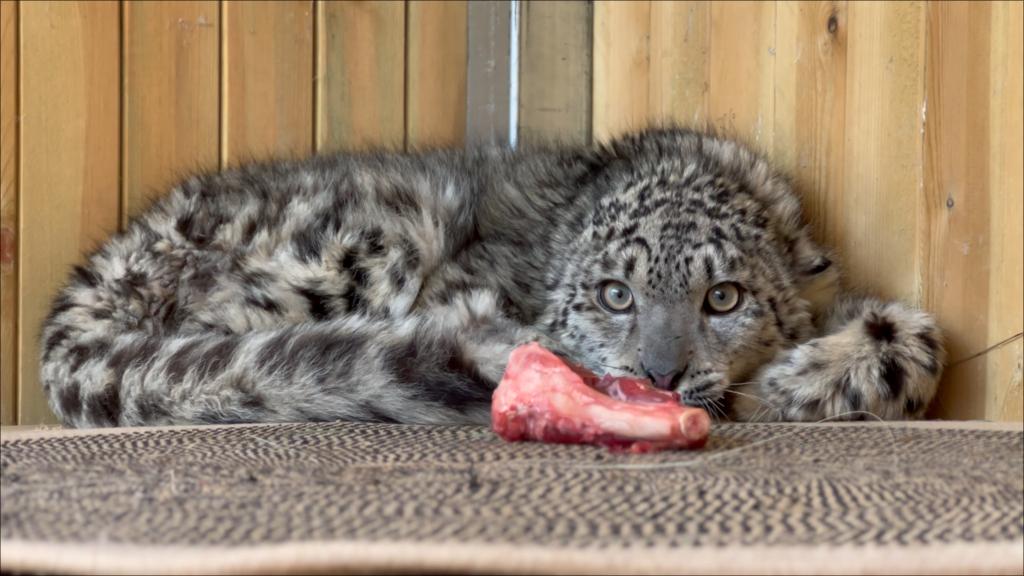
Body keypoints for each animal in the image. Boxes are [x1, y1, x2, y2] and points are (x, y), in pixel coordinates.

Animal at [39, 126, 945, 427]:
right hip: (370, 235)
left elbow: (918, 335)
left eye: (724, 297)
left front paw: (800, 379)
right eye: (615, 293)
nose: (660, 374)